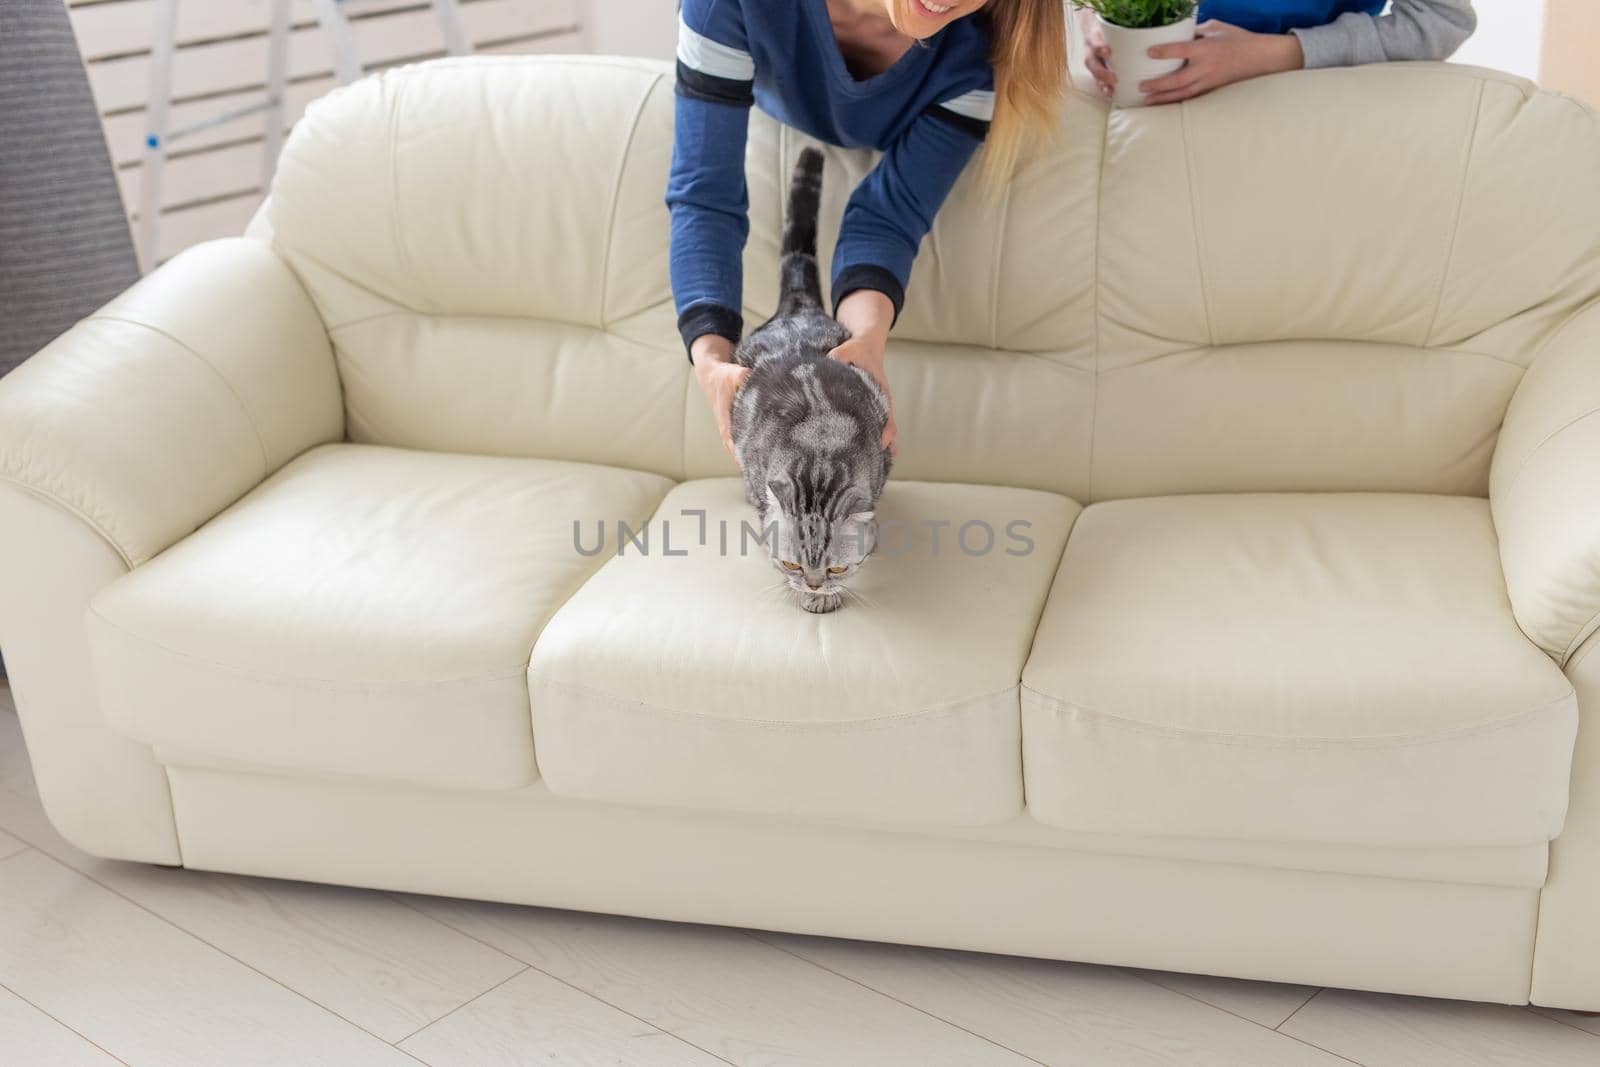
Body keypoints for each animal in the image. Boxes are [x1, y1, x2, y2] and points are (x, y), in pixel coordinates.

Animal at [732, 150, 896, 617]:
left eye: (837, 569)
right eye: (791, 563)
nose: (815, 583)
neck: (820, 456)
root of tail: (798, 308)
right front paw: (809, 598)